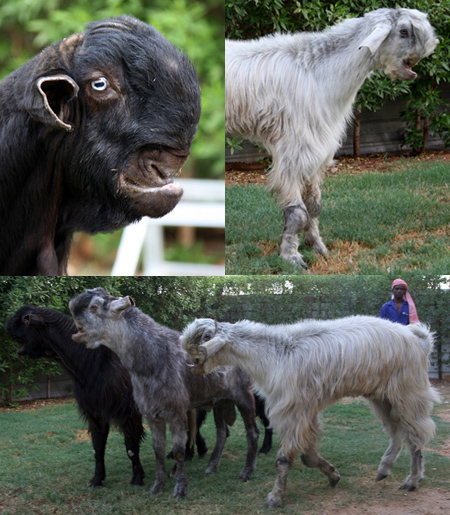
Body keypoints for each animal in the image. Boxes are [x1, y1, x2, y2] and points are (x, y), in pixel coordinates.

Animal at [181, 316, 442, 510]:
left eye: (206, 337)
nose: (188, 361)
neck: (274, 354)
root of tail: (419, 340)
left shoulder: (295, 411)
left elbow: (283, 460)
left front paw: (275, 497)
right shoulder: (305, 413)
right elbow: (308, 456)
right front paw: (333, 475)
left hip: (408, 392)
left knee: (415, 436)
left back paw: (412, 480)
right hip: (382, 396)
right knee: (397, 432)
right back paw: (384, 470)